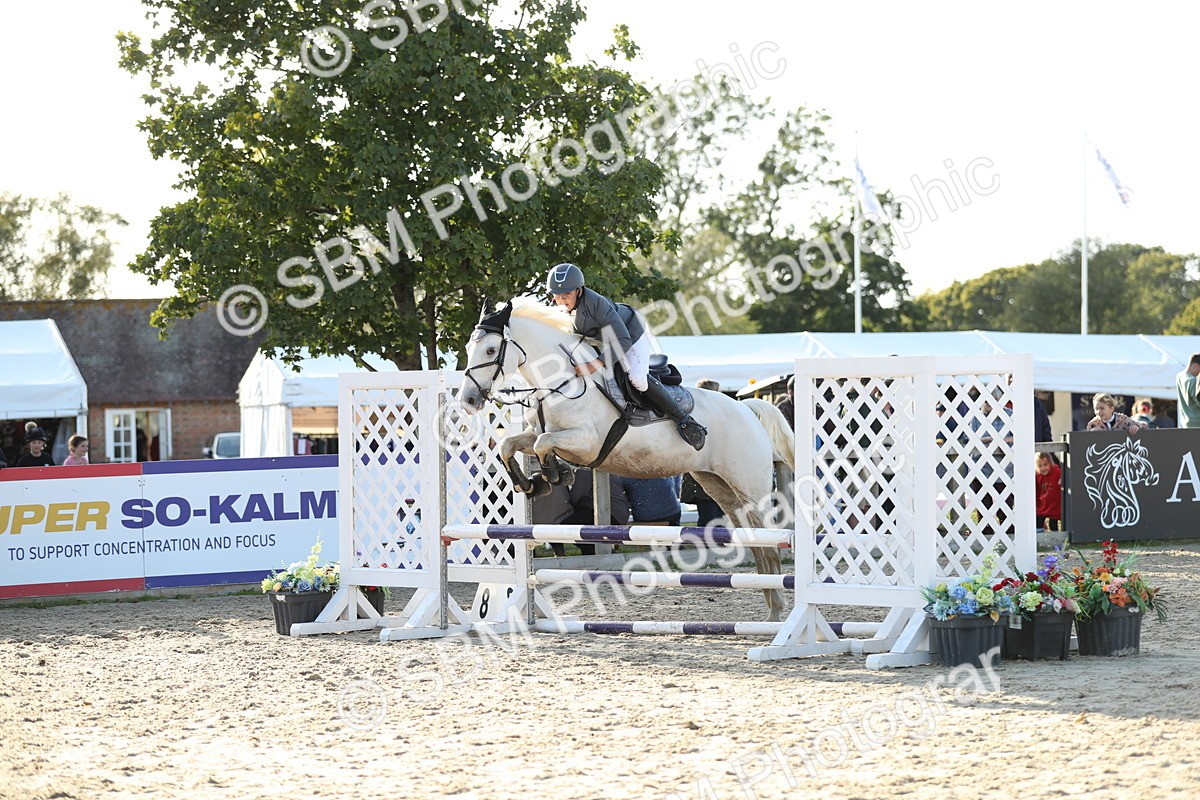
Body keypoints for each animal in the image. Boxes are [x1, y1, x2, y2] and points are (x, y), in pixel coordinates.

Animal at [459, 297, 796, 619]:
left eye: (491, 349)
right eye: (468, 349)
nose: (468, 401)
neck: (560, 382)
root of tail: (746, 408)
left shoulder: (586, 441)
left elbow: (544, 444)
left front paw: (554, 475)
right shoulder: (539, 435)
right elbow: (509, 444)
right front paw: (530, 483)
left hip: (750, 489)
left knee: (769, 544)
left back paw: (775, 612)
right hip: (720, 487)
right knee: (755, 542)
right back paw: (771, 609)